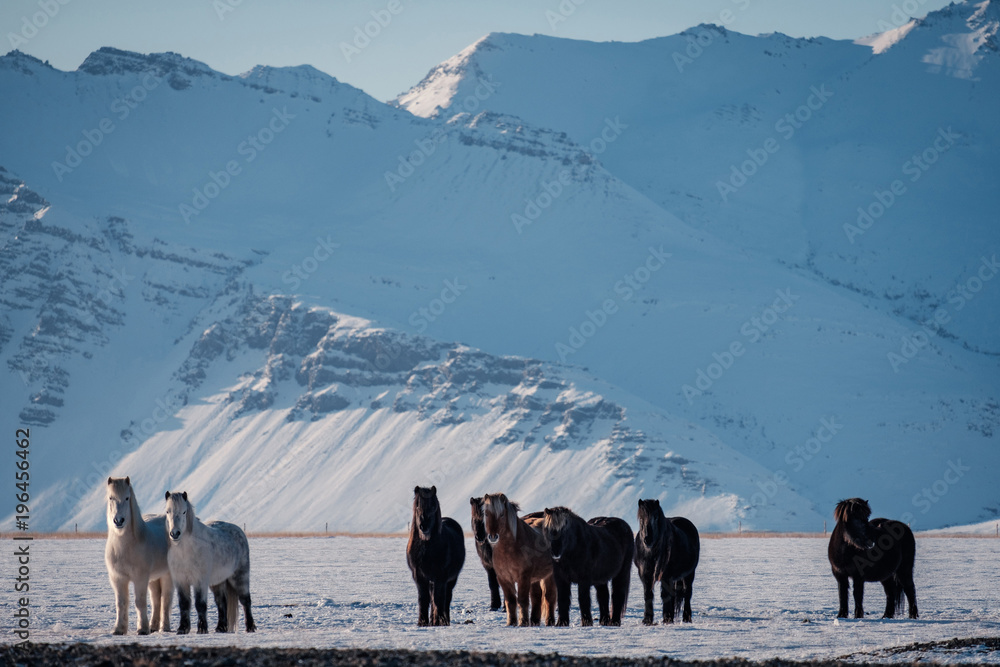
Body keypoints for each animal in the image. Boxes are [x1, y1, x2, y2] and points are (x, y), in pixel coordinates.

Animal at [104, 476, 172, 634]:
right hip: (154, 578)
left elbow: (139, 602)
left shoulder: (140, 578)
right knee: (156, 599)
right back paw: (153, 626)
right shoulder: (118, 578)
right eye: (111, 497)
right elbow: (121, 603)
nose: (118, 521)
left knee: (165, 600)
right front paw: (119, 629)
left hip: (166, 575)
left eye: (127, 497)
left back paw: (164, 627)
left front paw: (142, 629)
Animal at [164, 491, 256, 634]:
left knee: (245, 600)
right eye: (168, 511)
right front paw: (183, 629)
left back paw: (250, 627)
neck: (186, 551)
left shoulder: (200, 581)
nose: (175, 533)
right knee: (221, 602)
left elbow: (200, 604)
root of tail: (239, 531)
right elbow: (184, 604)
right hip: (218, 582)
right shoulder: (181, 580)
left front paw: (202, 629)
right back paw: (221, 627)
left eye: (184, 512)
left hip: (240, 577)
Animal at [406, 486, 465, 626]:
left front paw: (438, 621)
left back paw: (444, 620)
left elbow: (438, 599)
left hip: (451, 579)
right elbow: (423, 599)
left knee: (446, 598)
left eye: (433, 506)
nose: (424, 526)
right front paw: (422, 622)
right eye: (417, 505)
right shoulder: (419, 576)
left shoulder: (441, 577)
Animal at [482, 493, 556, 626]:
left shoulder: (524, 578)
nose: (493, 537)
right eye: (486, 513)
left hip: (549, 575)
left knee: (549, 596)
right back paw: (534, 621)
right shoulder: (503, 579)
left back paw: (550, 621)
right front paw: (511, 622)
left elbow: (522, 600)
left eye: (502, 514)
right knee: (536, 596)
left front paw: (523, 622)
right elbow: (511, 601)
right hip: (536, 578)